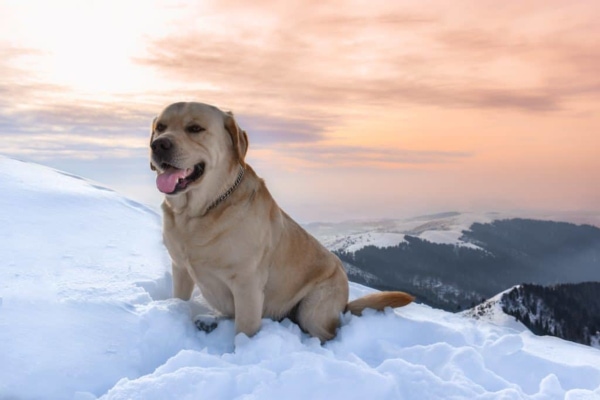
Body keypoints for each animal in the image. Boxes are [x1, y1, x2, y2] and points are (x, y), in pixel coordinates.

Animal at [150, 101, 412, 342]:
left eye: (195, 128)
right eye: (160, 127)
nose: (158, 144)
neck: (198, 213)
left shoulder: (247, 285)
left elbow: (244, 331)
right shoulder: (180, 269)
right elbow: (179, 298)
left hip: (313, 308)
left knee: (327, 334)